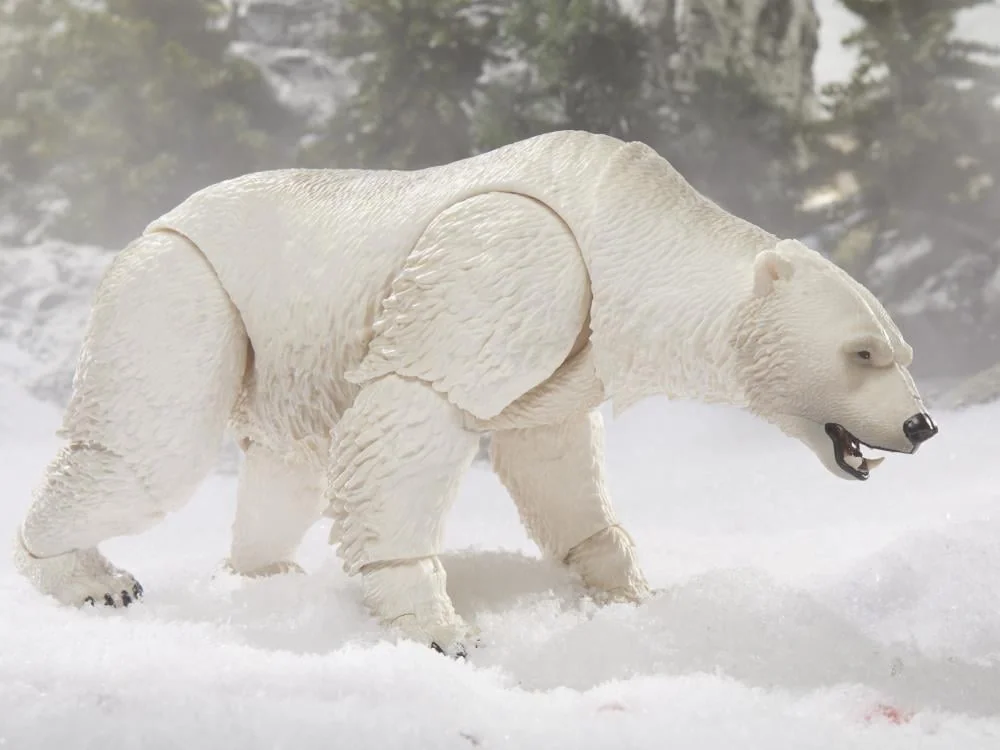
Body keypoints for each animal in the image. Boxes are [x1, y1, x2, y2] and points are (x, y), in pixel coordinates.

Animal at [12, 130, 938, 656]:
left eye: (901, 350)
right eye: (860, 352)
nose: (922, 423)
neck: (627, 219)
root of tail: (157, 220)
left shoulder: (576, 339)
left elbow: (553, 460)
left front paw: (631, 591)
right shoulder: (518, 256)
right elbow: (416, 407)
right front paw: (441, 630)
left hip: (278, 344)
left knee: (286, 466)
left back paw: (265, 574)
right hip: (187, 288)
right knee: (150, 452)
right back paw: (90, 577)